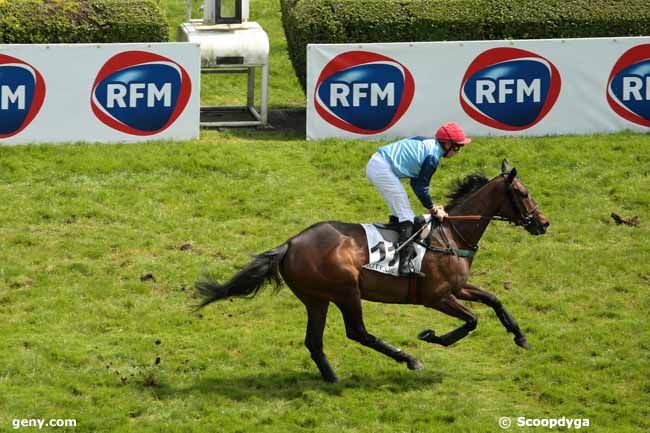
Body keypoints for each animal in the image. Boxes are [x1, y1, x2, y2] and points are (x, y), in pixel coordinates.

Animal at [196, 159, 548, 382]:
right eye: (524, 193)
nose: (543, 223)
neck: (452, 234)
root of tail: (290, 243)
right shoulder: (436, 296)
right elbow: (472, 320)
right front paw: (432, 336)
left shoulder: (458, 287)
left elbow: (494, 301)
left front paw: (520, 337)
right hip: (346, 291)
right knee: (358, 332)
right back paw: (409, 359)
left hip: (316, 299)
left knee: (314, 341)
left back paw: (331, 377)